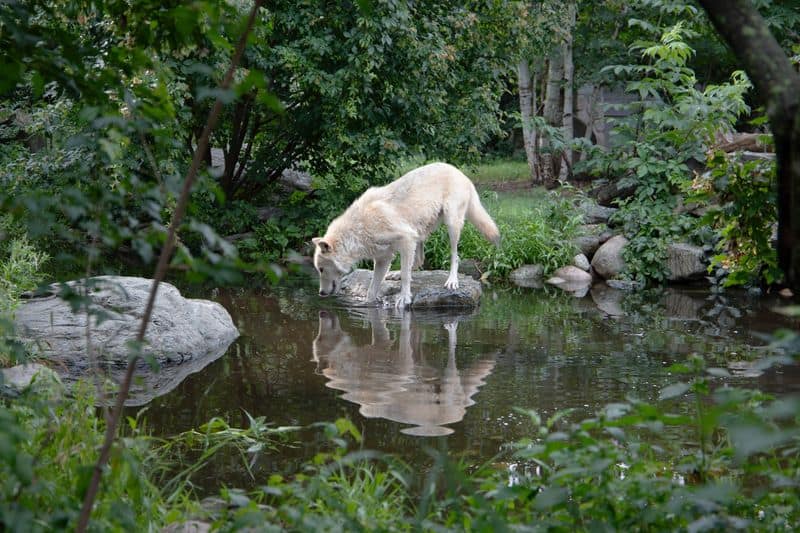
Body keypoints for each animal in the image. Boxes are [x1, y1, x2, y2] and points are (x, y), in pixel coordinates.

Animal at [312, 160, 500, 306]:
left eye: (321, 269)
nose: (320, 293)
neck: (358, 230)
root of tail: (461, 173)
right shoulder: (383, 258)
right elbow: (372, 291)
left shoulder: (406, 240)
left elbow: (405, 275)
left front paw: (404, 297)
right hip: (420, 231)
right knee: (418, 260)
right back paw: (394, 274)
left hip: (450, 224)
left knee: (454, 256)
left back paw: (452, 280)